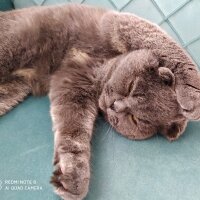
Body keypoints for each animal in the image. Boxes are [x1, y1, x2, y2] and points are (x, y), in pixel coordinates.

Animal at [1, 3, 200, 200]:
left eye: (135, 119)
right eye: (131, 86)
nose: (115, 106)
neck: (101, 65)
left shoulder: (73, 87)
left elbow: (74, 132)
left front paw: (72, 176)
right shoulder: (119, 23)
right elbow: (168, 46)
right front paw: (193, 94)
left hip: (12, 90)